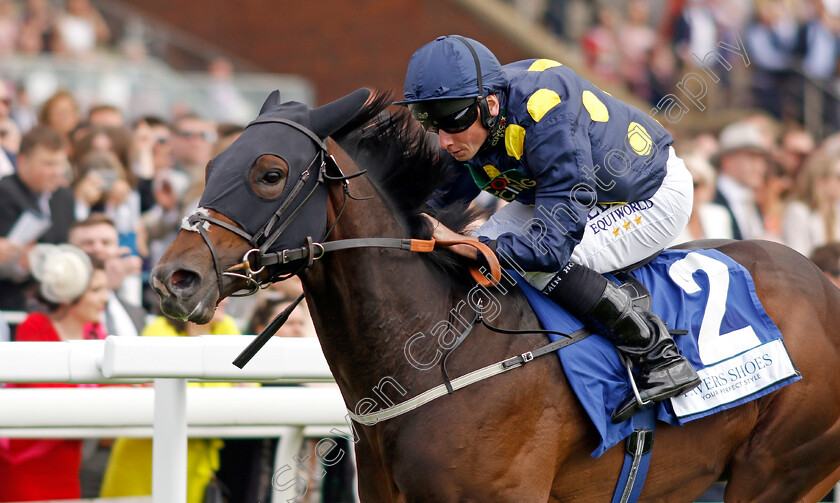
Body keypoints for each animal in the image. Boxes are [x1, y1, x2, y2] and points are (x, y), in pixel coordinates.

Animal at [149, 88, 840, 502]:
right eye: (208, 166)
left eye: (270, 174)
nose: (174, 279)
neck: (439, 352)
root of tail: (824, 285)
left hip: (777, 471)